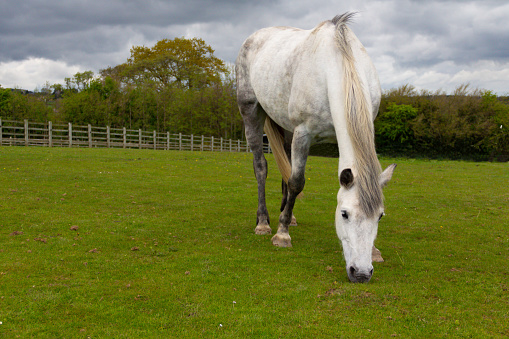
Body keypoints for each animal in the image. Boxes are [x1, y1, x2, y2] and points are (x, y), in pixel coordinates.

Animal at [236, 12, 394, 284]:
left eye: (380, 216)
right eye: (344, 214)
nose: (362, 273)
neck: (335, 65)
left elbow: (292, 179)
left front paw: (374, 251)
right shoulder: (303, 134)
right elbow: (297, 182)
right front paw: (281, 235)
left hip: (284, 126)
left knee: (285, 169)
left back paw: (289, 216)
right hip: (251, 112)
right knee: (261, 168)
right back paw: (264, 222)